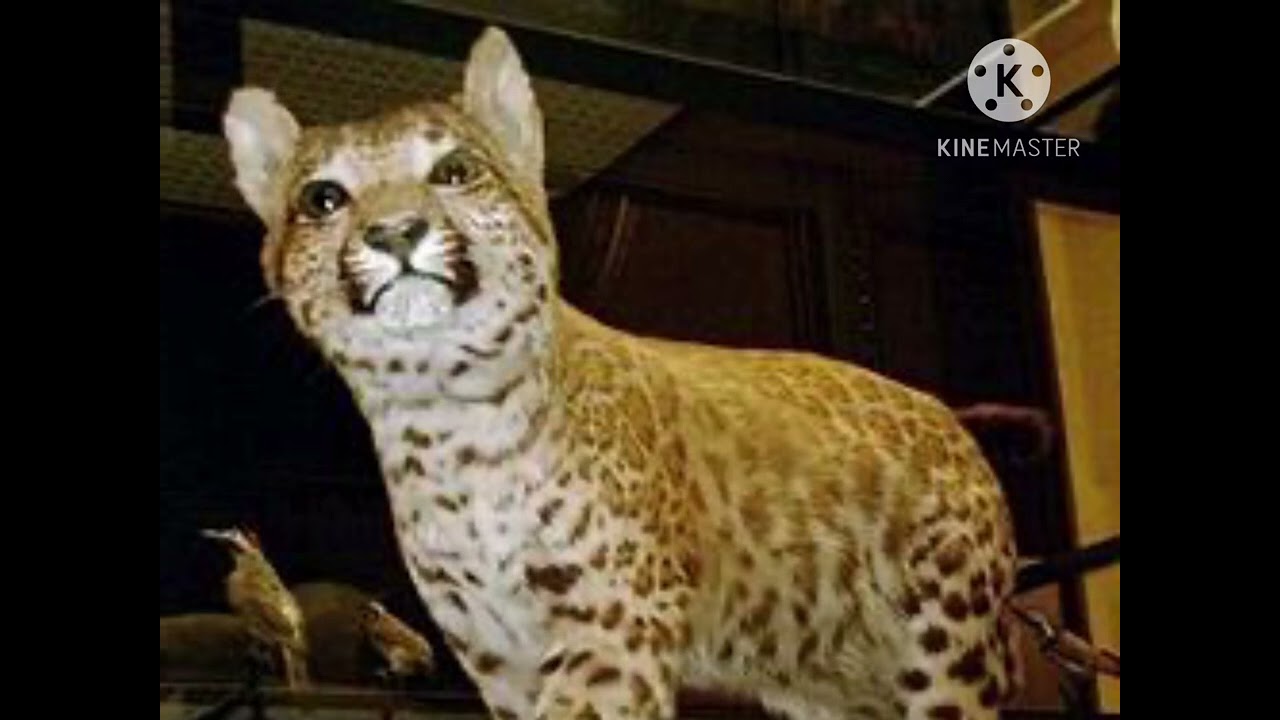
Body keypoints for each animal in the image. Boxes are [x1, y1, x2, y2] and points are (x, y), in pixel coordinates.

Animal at [222, 26, 1022, 720]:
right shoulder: (497, 654)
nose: (393, 233)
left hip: (951, 649)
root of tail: (948, 414)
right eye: (323, 199)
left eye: (456, 171)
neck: (444, 416)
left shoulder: (613, 619)